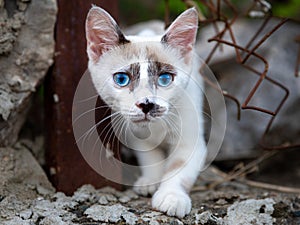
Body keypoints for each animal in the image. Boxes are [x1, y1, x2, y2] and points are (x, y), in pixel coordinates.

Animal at [85, 5, 206, 218]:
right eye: (122, 79)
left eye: (165, 79)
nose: (147, 104)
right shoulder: (132, 130)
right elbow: (149, 155)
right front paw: (150, 181)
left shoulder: (191, 139)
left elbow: (180, 166)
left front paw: (171, 196)